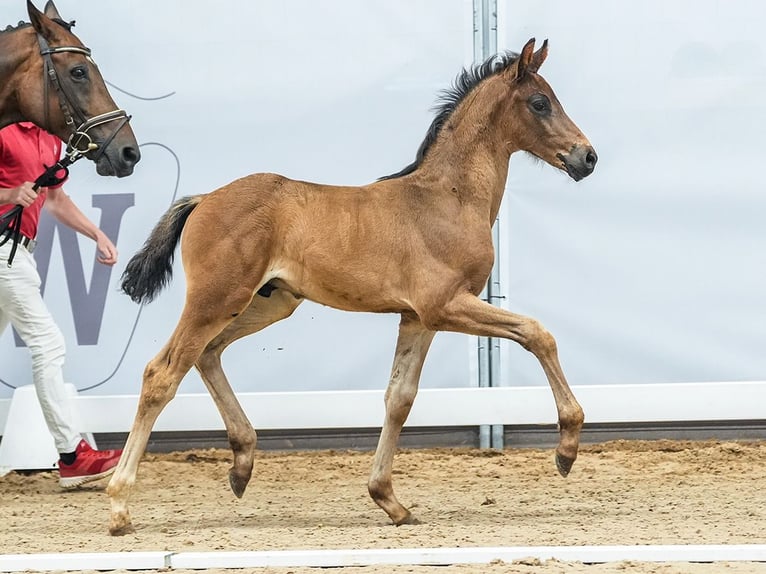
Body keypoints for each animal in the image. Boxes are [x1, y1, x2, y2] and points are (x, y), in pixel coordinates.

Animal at [108, 39, 600, 536]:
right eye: (539, 103)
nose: (588, 157)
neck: (449, 199)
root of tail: (204, 198)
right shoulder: (445, 305)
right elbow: (537, 334)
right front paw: (567, 448)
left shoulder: (417, 318)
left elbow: (399, 398)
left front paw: (389, 500)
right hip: (216, 299)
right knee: (162, 373)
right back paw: (119, 505)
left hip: (267, 303)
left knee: (207, 353)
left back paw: (241, 464)